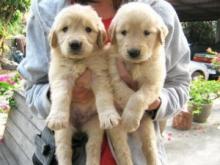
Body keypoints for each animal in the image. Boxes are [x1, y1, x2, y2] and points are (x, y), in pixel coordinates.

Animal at [45, 4, 119, 165]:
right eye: (65, 29)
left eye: (88, 29)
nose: (75, 44)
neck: (79, 61)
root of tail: (80, 127)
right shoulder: (61, 77)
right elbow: (61, 96)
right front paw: (56, 117)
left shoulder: (99, 75)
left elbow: (104, 97)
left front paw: (109, 116)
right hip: (64, 130)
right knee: (64, 149)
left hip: (95, 125)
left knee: (92, 146)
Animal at [107, 2, 168, 165]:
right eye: (123, 32)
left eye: (146, 32)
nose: (133, 52)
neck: (135, 65)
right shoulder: (115, 78)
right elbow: (128, 95)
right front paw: (129, 119)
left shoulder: (153, 82)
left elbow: (138, 97)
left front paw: (129, 119)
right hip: (116, 131)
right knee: (123, 152)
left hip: (147, 129)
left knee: (150, 149)